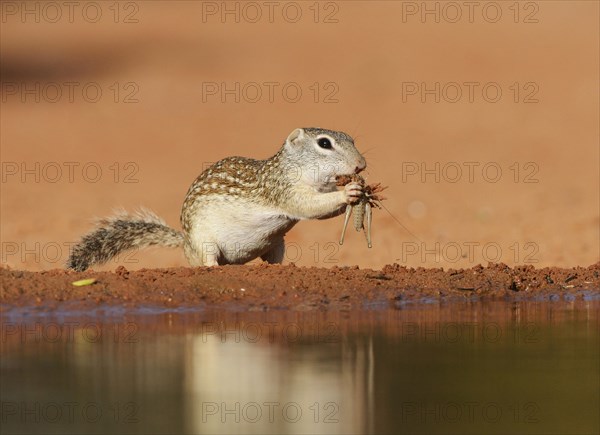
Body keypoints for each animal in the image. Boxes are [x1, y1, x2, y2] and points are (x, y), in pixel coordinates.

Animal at [65, 126, 366, 270]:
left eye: (351, 139)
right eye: (324, 143)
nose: (361, 165)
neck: (289, 166)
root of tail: (185, 244)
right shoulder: (282, 189)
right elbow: (311, 207)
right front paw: (349, 192)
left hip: (277, 244)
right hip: (204, 241)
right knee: (208, 259)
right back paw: (212, 267)